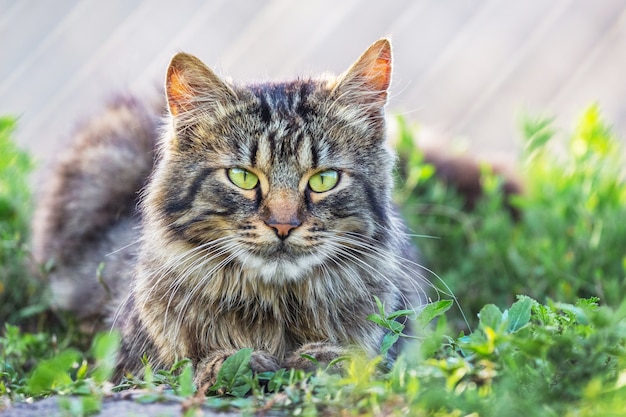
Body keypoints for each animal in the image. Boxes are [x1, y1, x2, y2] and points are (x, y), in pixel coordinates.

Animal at [33, 39, 424, 386]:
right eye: (242, 176)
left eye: (324, 179)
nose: (283, 225)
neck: (277, 308)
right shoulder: (131, 363)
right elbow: (191, 365)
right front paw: (235, 363)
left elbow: (360, 358)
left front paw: (322, 359)